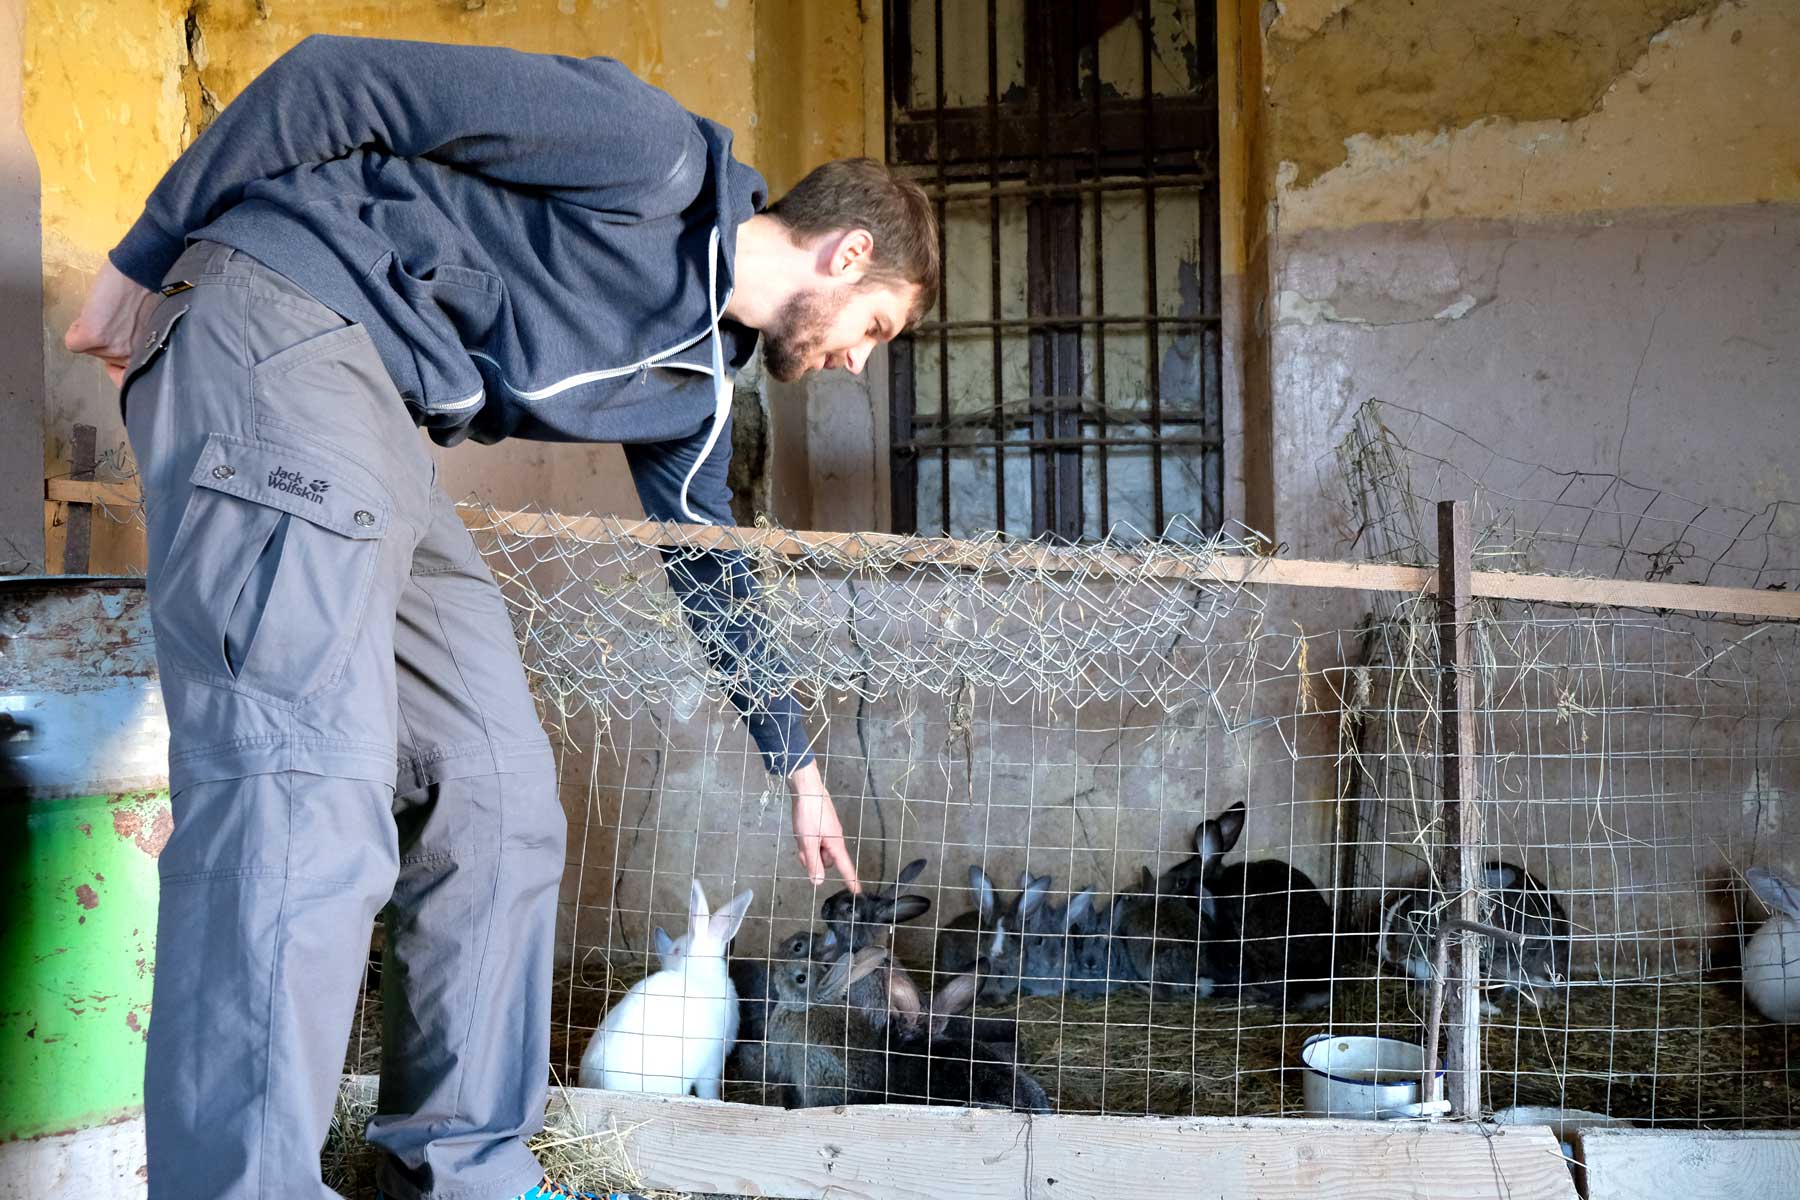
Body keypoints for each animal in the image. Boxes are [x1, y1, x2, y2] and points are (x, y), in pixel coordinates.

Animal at [579, 881, 756, 1101]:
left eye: (676, 950)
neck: (697, 975)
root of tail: (599, 1085)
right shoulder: (711, 1065)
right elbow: (708, 1090)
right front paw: (715, 1100)